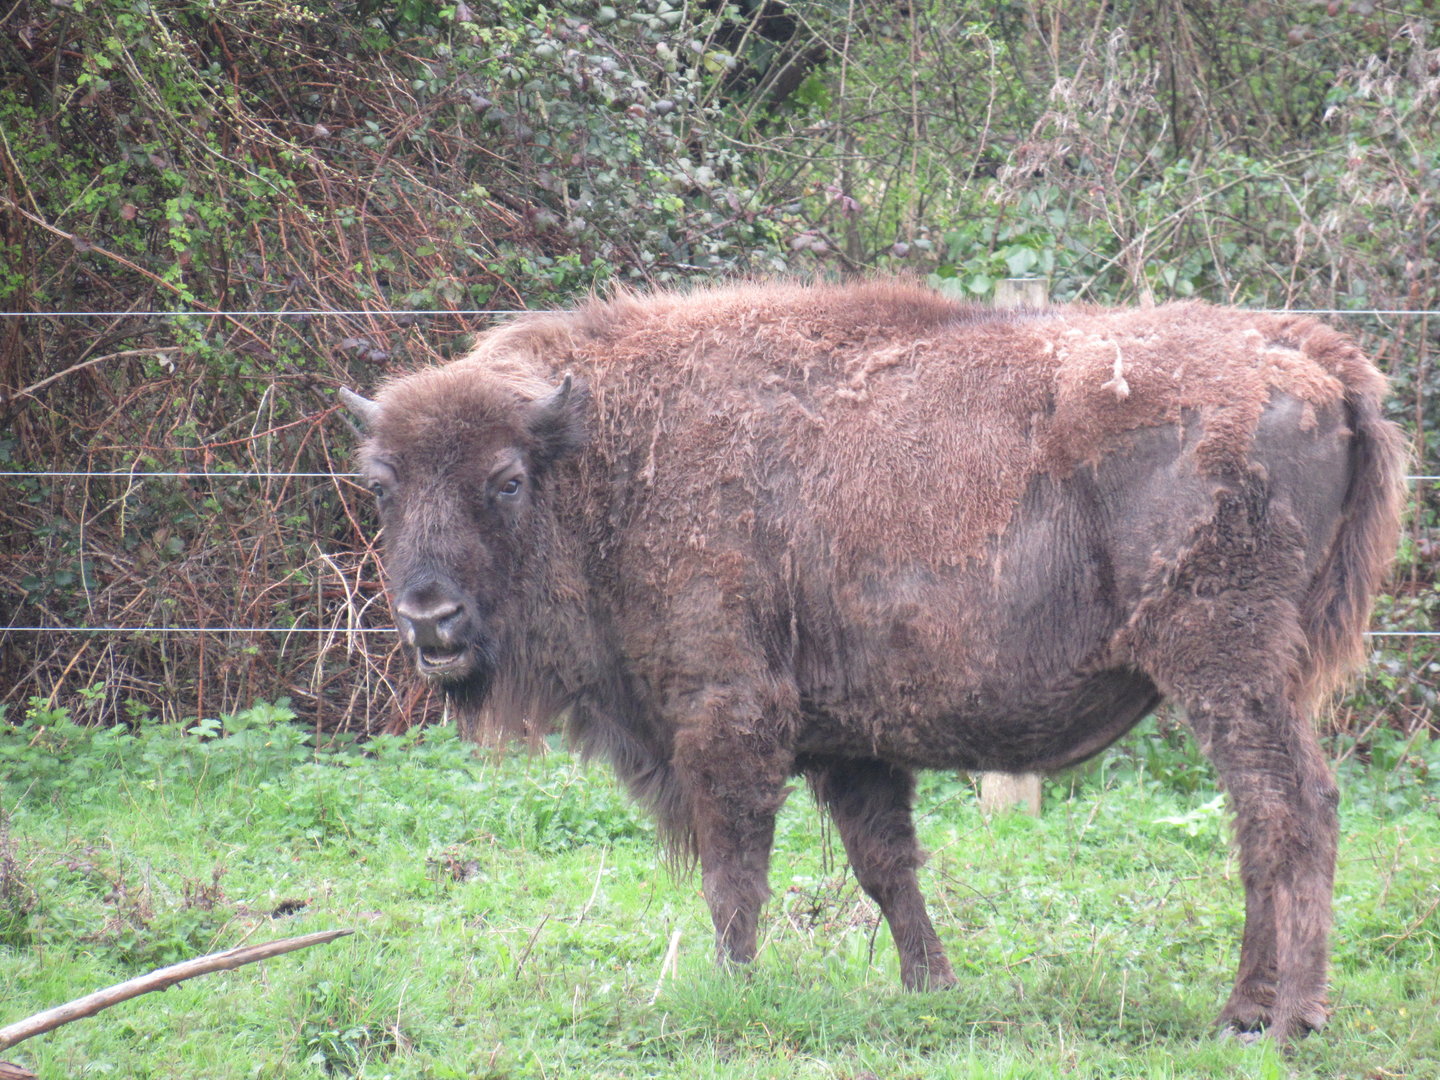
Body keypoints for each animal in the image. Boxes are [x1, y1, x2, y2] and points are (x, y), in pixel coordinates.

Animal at [340, 281, 1404, 1043]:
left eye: (505, 481)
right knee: (1262, 819)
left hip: (1225, 663)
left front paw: (728, 991)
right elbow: (885, 865)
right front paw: (933, 988)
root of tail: (1312, 355)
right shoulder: (851, 744)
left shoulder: (728, 715)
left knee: (1290, 807)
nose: (429, 615)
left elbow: (736, 872)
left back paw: (1282, 1021)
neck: (606, 452)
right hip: (1257, 672)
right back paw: (1249, 1011)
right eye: (383, 485)